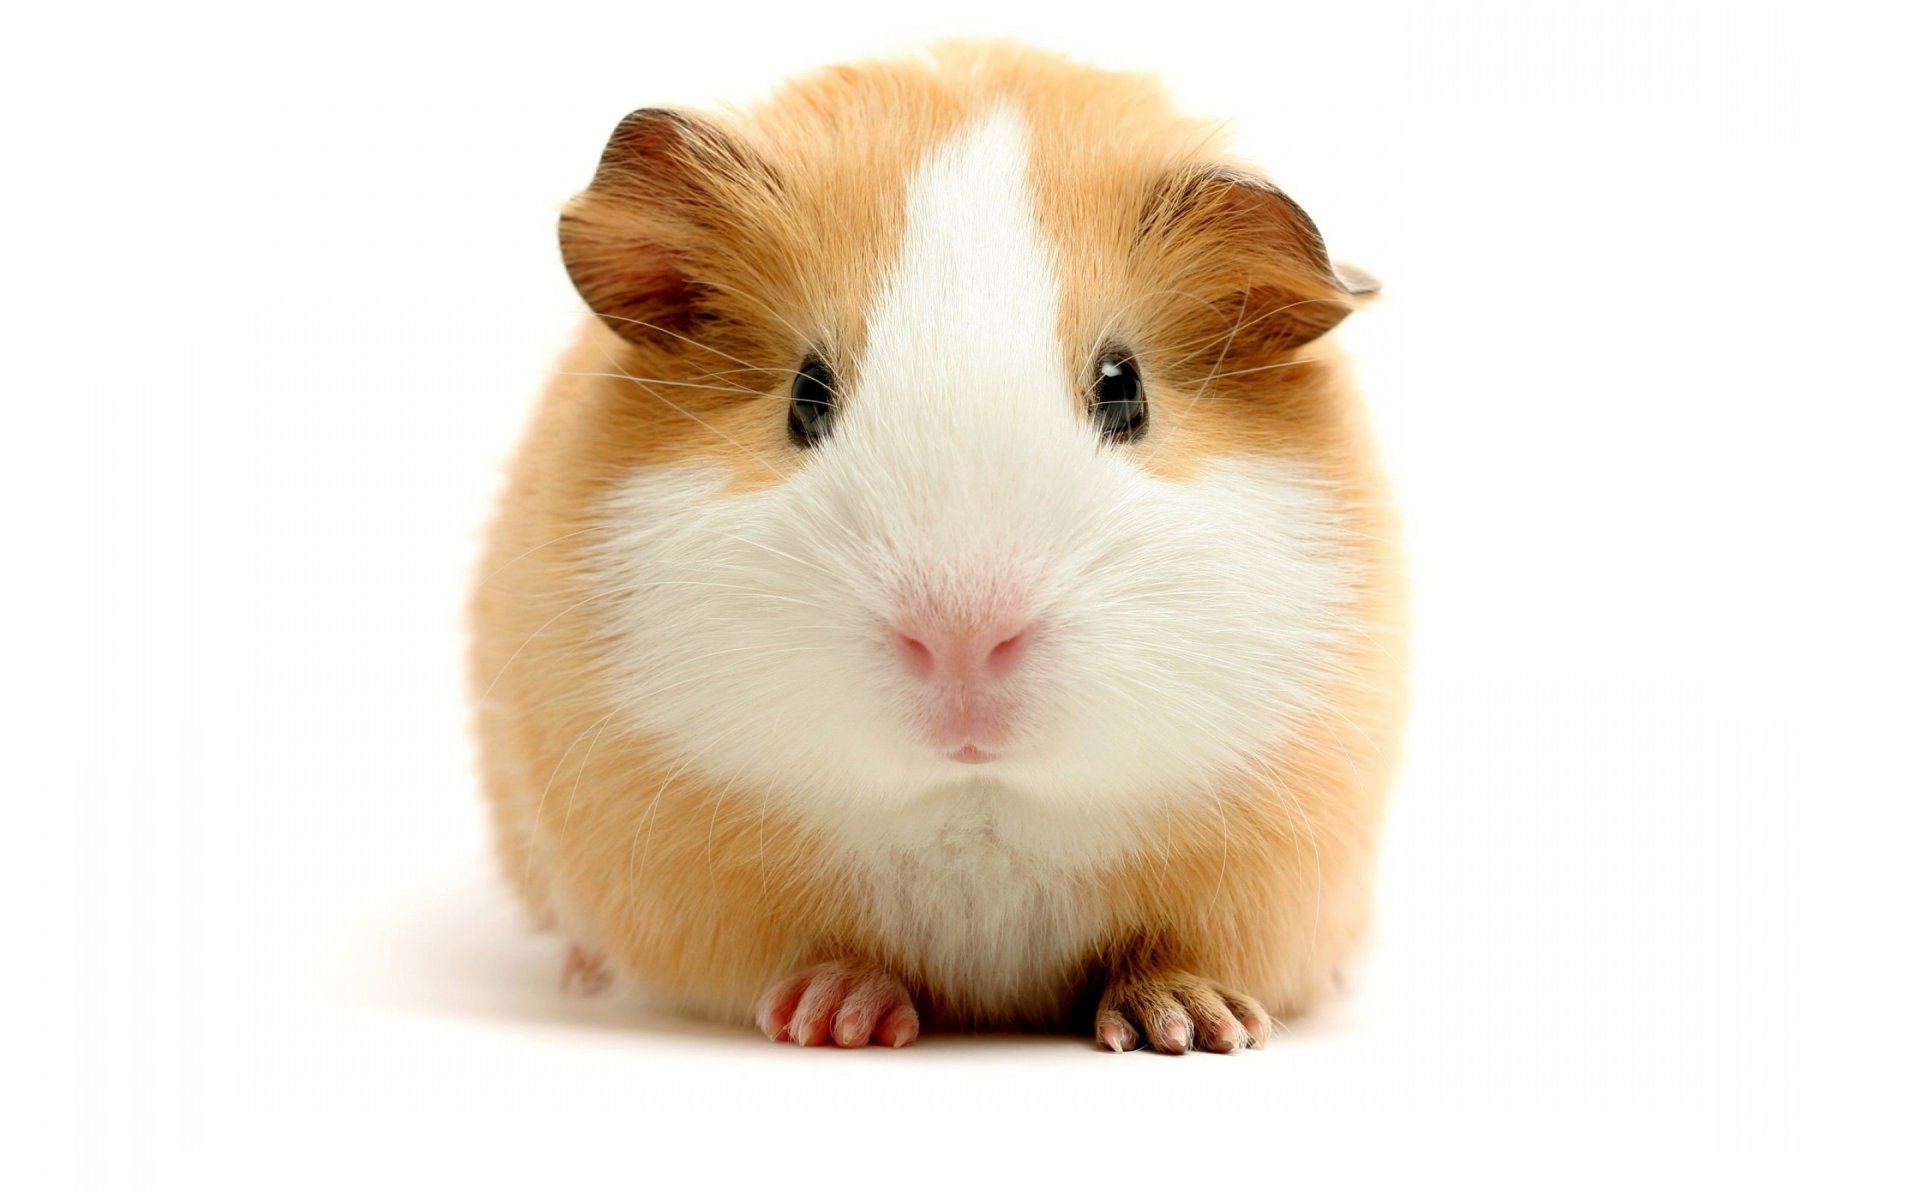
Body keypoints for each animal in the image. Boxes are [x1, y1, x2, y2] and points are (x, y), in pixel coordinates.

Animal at [469, 42, 1406, 1053]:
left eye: (1126, 390)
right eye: (806, 396)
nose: (963, 640)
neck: (976, 806)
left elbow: (1166, 952)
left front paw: (1199, 1027)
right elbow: (820, 956)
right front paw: (835, 1018)